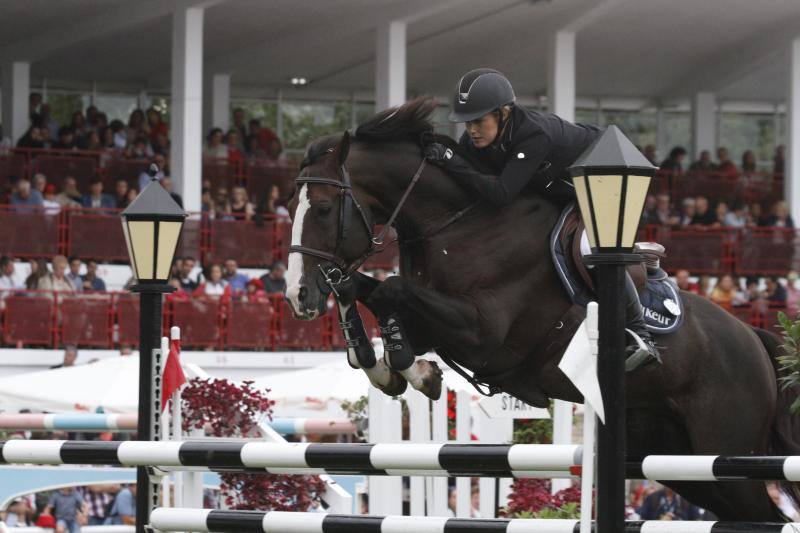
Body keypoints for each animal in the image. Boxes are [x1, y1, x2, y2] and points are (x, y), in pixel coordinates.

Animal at [282, 96, 800, 520]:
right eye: (292, 204)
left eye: (323, 208)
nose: (297, 296)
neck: (455, 225)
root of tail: (754, 337)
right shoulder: (438, 323)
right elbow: (369, 291)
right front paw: (390, 364)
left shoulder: (483, 333)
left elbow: (390, 290)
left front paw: (410, 369)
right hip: (680, 461)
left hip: (726, 451)